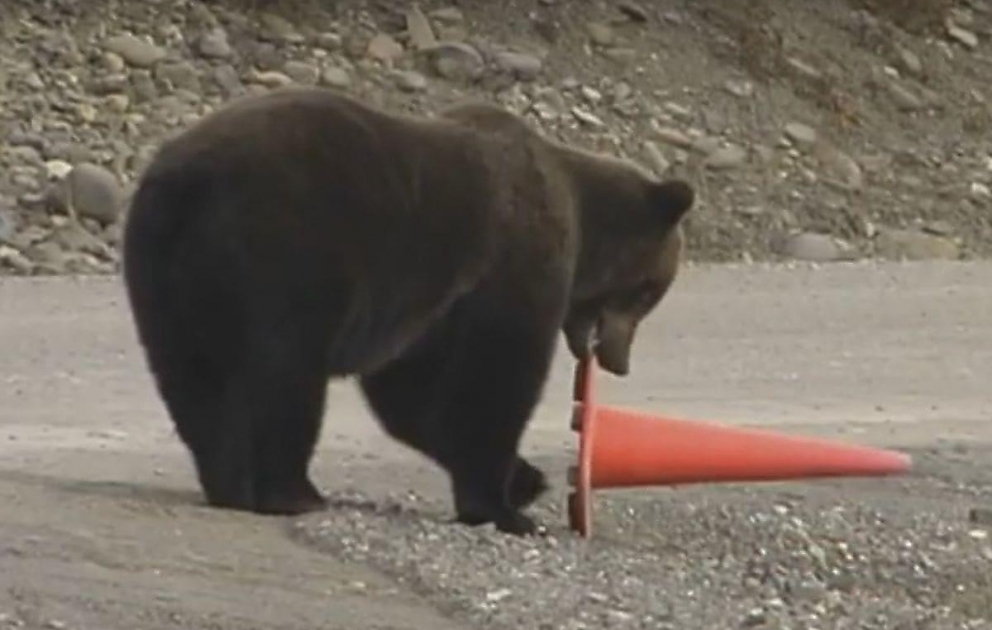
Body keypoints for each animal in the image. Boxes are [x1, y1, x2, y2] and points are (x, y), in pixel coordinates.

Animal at [120, 86, 695, 536]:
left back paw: (227, 481)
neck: (584, 224)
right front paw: (507, 508)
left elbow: (415, 399)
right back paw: (291, 490)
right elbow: (495, 379)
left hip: (162, 275)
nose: (619, 361)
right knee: (285, 375)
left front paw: (526, 480)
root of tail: (187, 180)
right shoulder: (510, 266)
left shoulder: (427, 311)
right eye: (651, 292)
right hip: (285, 252)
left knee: (192, 381)